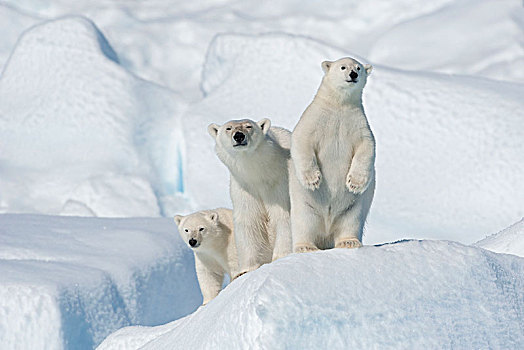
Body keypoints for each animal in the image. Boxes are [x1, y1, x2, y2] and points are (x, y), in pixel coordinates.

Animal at [207, 119, 292, 274]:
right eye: (228, 128)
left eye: (248, 126)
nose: (239, 136)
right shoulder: (245, 190)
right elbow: (249, 221)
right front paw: (247, 268)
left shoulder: (281, 183)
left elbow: (284, 215)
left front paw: (281, 256)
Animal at [288, 56, 374, 252]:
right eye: (342, 67)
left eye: (359, 67)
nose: (353, 74)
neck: (339, 106)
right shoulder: (315, 119)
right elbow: (302, 139)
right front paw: (313, 179)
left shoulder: (357, 123)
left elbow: (366, 146)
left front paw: (355, 183)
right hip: (305, 204)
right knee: (304, 223)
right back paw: (306, 246)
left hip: (353, 207)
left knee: (350, 221)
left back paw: (349, 242)